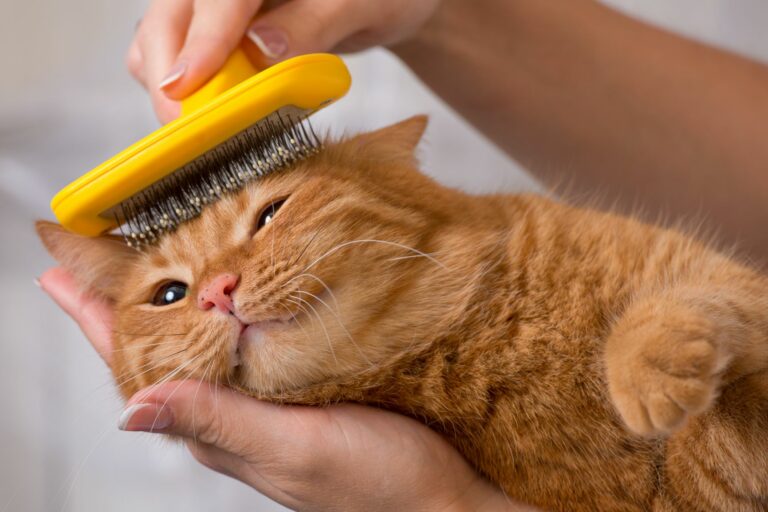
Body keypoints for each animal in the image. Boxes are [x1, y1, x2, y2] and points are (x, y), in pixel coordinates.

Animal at [37, 117, 768, 512]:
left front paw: (650, 368)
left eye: (271, 213)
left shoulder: (716, 278)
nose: (218, 289)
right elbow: (716, 447)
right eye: (169, 295)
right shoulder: (675, 497)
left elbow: (685, 304)